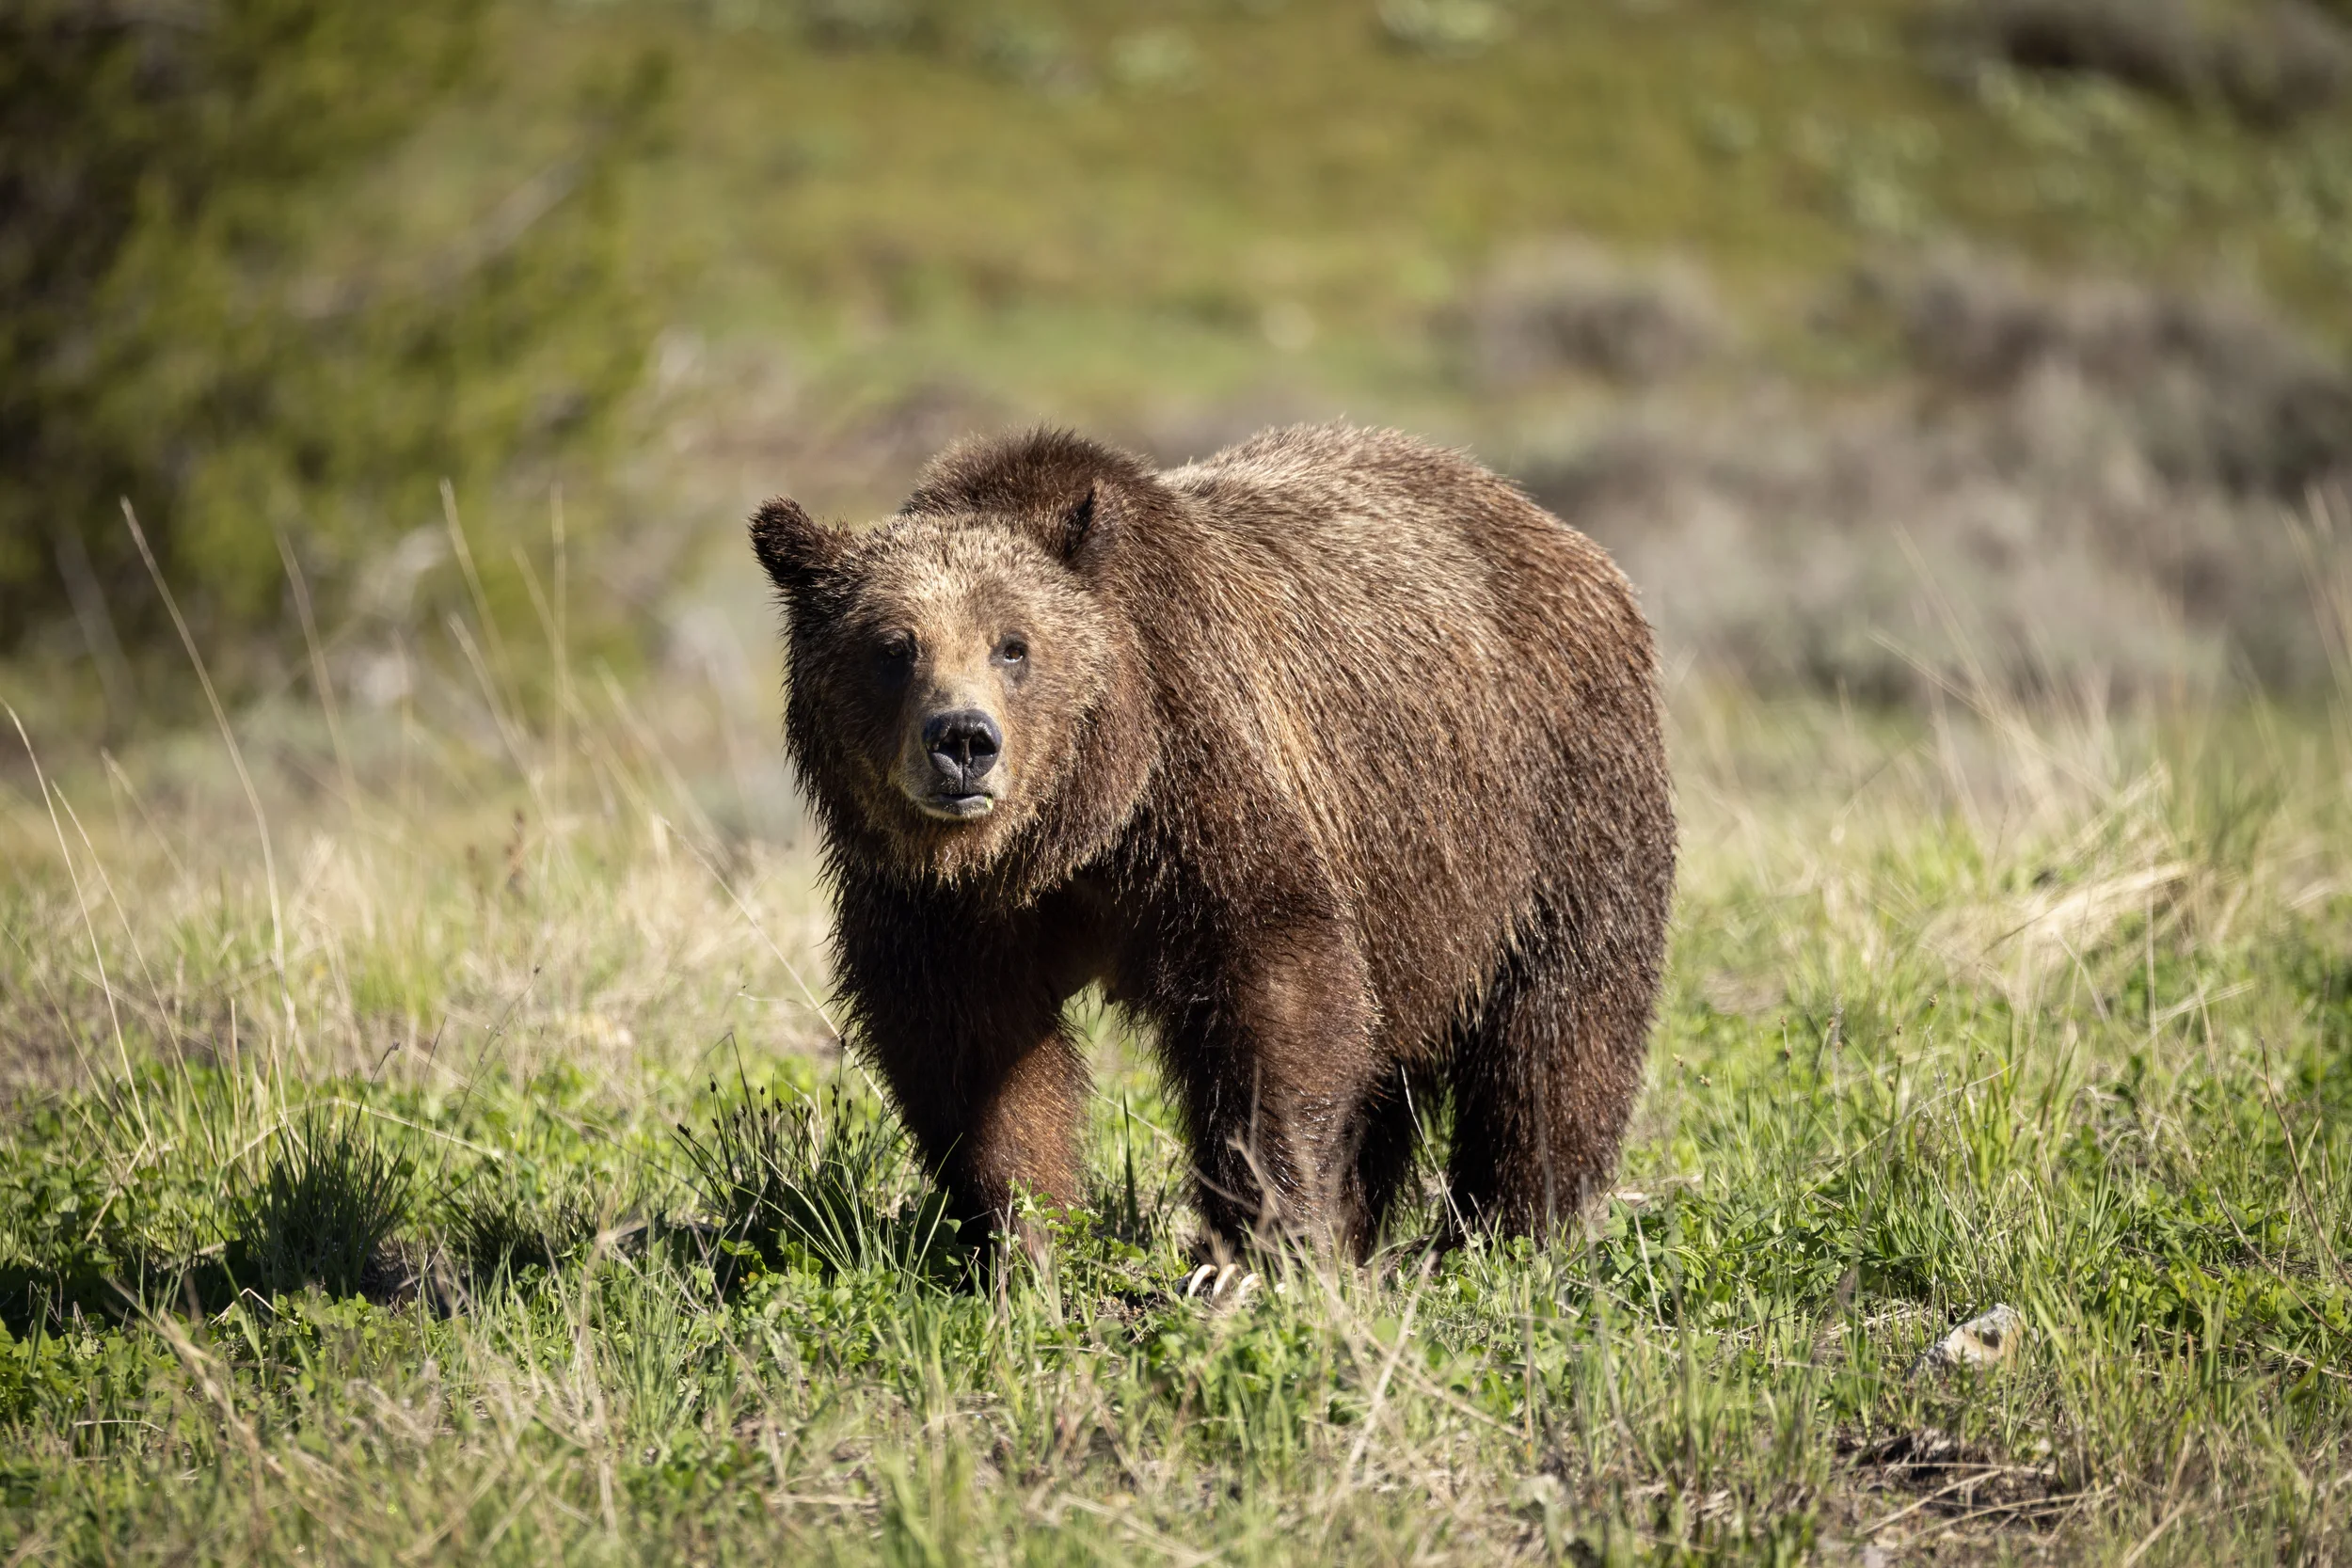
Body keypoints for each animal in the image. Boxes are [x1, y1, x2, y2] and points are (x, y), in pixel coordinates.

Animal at [751, 424, 1675, 1262]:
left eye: (1013, 644)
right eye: (892, 646)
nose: (964, 740)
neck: (1064, 835)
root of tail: (1553, 526)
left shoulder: (1199, 786)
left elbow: (1277, 987)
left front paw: (1270, 1228)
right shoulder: (940, 903)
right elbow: (973, 1049)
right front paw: (1022, 1237)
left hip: (1553, 799)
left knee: (1556, 1029)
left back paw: (1500, 1229)